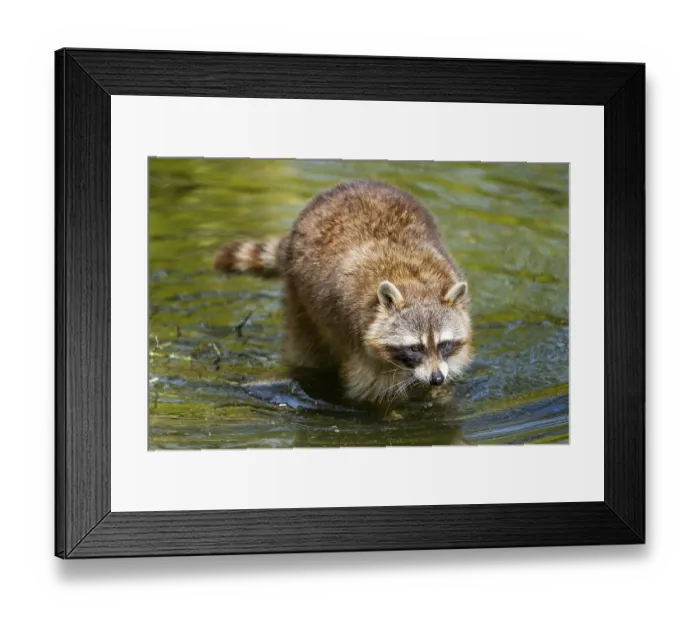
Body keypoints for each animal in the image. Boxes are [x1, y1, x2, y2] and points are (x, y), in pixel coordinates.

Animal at [214, 180, 473, 403]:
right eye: (414, 348)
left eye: (444, 344)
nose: (436, 379)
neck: (413, 281)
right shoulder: (355, 336)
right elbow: (373, 389)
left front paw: (438, 393)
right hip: (298, 295)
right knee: (308, 349)